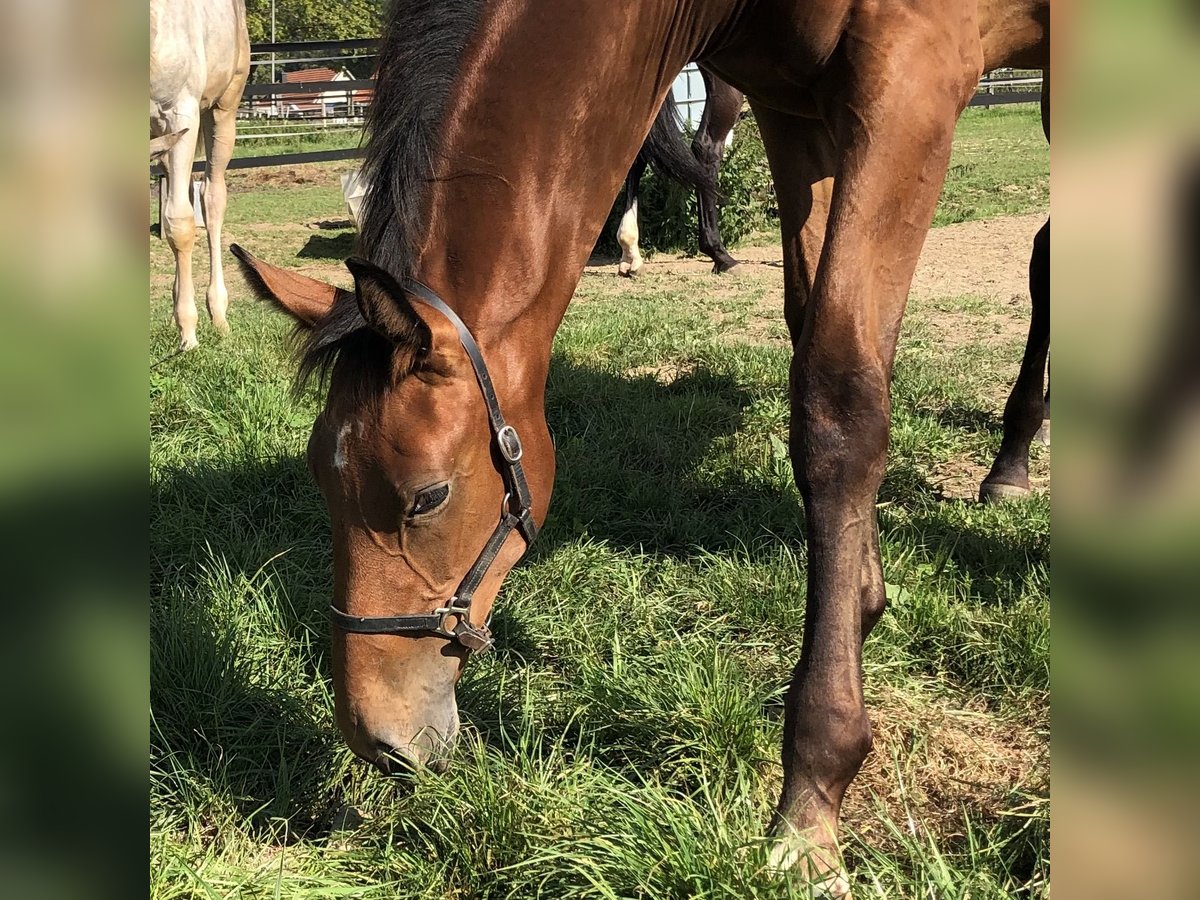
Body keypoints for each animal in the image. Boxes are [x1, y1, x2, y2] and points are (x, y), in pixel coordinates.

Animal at [152, 0, 250, 352]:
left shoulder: (181, 113)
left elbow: (180, 224)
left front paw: (189, 336)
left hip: (223, 108)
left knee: (211, 198)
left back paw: (217, 317)